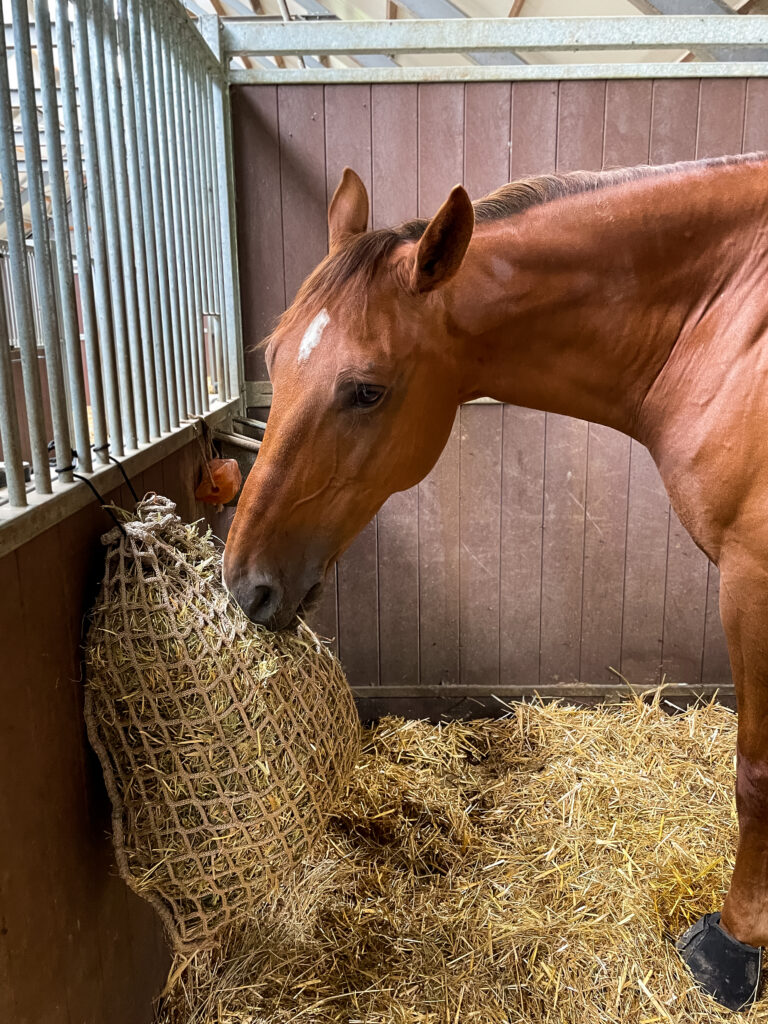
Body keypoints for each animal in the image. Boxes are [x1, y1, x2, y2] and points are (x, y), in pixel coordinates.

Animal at [223, 154, 768, 1010]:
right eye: (275, 359)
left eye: (366, 389)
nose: (246, 585)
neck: (729, 327)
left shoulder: (752, 573)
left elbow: (756, 775)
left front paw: (736, 947)